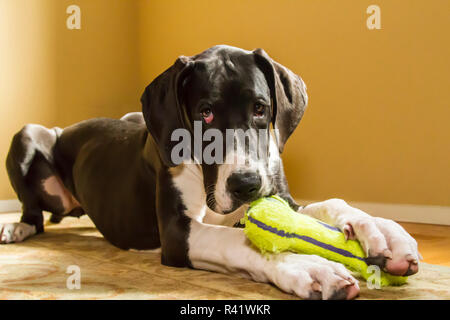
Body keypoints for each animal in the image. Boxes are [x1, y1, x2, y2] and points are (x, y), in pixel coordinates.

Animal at [1, 45, 420, 300]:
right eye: (204, 113)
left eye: (260, 108)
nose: (246, 185)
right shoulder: (177, 234)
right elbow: (239, 242)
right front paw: (309, 267)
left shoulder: (280, 198)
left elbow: (329, 204)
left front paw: (381, 232)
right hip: (28, 134)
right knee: (33, 215)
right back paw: (15, 228)